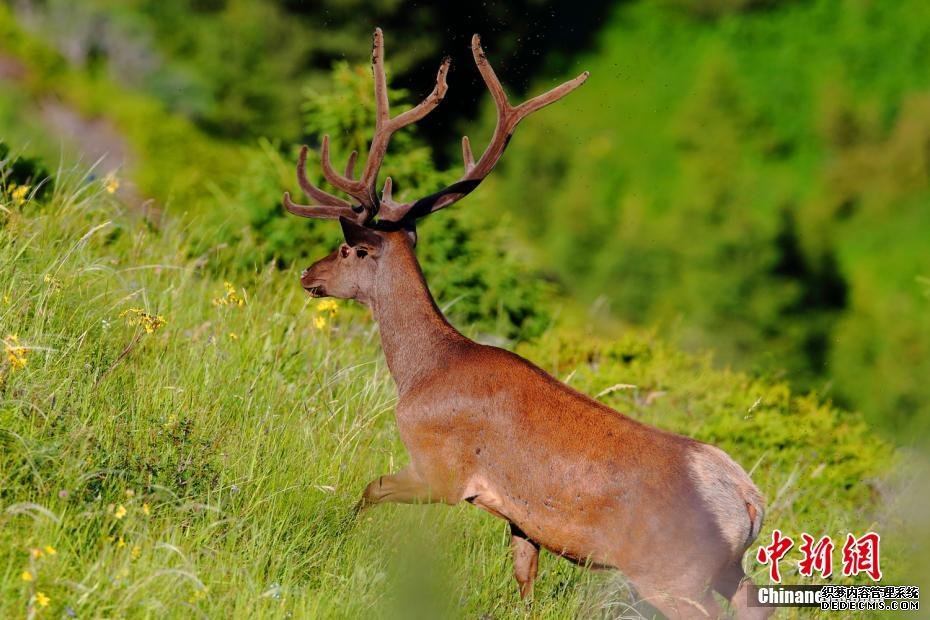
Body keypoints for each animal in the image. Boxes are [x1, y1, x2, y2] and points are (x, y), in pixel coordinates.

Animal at [280, 27, 768, 620]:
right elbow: (524, 578)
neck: (422, 373)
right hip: (727, 570)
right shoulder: (520, 516)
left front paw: (337, 538)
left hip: (673, 575)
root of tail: (747, 500)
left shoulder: (441, 467)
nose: (308, 274)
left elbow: (370, 489)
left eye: (350, 249)